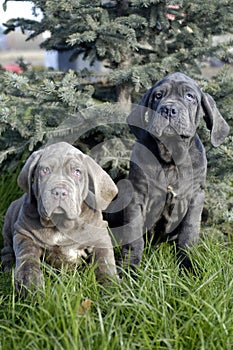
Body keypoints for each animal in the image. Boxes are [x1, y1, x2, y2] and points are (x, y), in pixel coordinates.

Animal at [1, 141, 118, 294]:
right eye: (45, 170)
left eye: (77, 172)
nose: (59, 191)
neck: (60, 224)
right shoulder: (24, 234)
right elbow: (27, 258)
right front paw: (29, 283)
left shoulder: (100, 237)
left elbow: (104, 263)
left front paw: (111, 289)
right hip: (9, 219)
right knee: (7, 249)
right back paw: (8, 267)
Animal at [112, 70, 230, 268]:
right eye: (158, 96)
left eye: (190, 96)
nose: (168, 110)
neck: (171, 157)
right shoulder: (136, 195)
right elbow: (134, 238)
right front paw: (130, 267)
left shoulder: (195, 196)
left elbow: (189, 233)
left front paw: (188, 265)